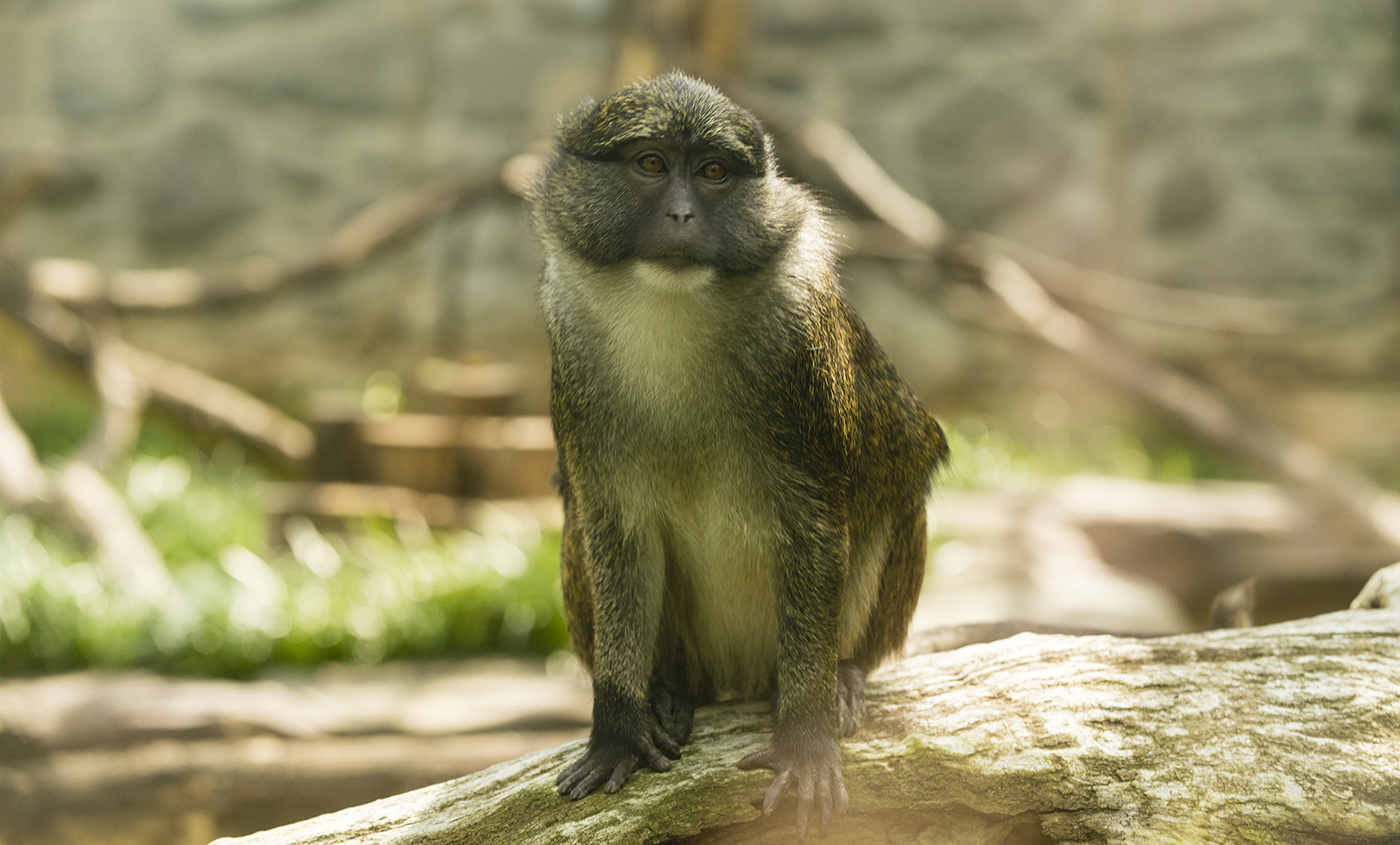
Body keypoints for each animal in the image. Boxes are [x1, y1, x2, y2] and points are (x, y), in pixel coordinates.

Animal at [526, 72, 952, 839]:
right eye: (651, 164)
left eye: (715, 173)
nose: (683, 214)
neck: (672, 318)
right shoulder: (573, 348)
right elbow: (615, 531)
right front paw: (618, 726)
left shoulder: (801, 352)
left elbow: (817, 527)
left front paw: (806, 737)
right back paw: (667, 693)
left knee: (894, 499)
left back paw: (843, 675)